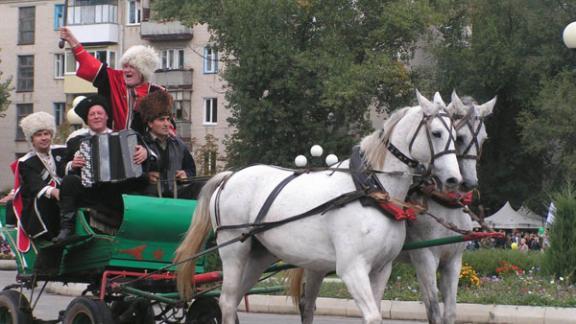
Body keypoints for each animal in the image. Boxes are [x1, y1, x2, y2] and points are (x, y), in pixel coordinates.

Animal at [176, 90, 464, 322]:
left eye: (456, 136)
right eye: (437, 134)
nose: (454, 179)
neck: (371, 191)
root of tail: (229, 176)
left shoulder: (382, 269)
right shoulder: (352, 269)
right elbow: (372, 316)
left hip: (259, 255)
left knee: (233, 299)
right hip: (234, 250)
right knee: (226, 302)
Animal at [290, 91, 498, 324]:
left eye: (484, 138)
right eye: (459, 138)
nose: (467, 183)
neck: (444, 205)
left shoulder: (453, 261)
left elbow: (451, 312)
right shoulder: (424, 258)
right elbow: (433, 310)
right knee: (307, 303)